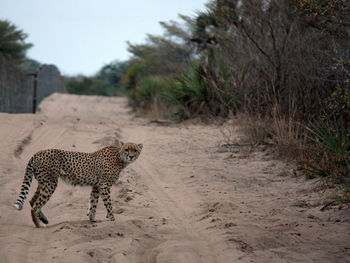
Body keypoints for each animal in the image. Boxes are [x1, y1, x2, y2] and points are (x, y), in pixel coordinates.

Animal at [13, 143, 142, 228]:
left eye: (135, 150)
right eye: (127, 149)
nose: (131, 156)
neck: (119, 157)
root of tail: (37, 153)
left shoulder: (96, 186)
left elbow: (93, 202)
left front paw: (92, 219)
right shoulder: (104, 185)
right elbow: (108, 203)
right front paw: (112, 218)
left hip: (43, 182)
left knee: (32, 200)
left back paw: (43, 220)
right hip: (50, 183)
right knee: (36, 205)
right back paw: (38, 225)